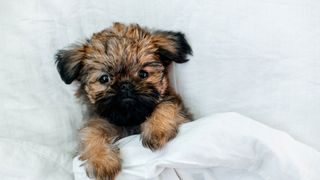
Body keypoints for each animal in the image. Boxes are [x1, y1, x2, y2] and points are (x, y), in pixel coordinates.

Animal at [54, 22, 192, 180]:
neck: (129, 120)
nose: (125, 85)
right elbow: (90, 132)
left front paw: (156, 129)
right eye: (104, 78)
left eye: (143, 74)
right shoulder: (98, 121)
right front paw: (102, 161)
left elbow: (166, 106)